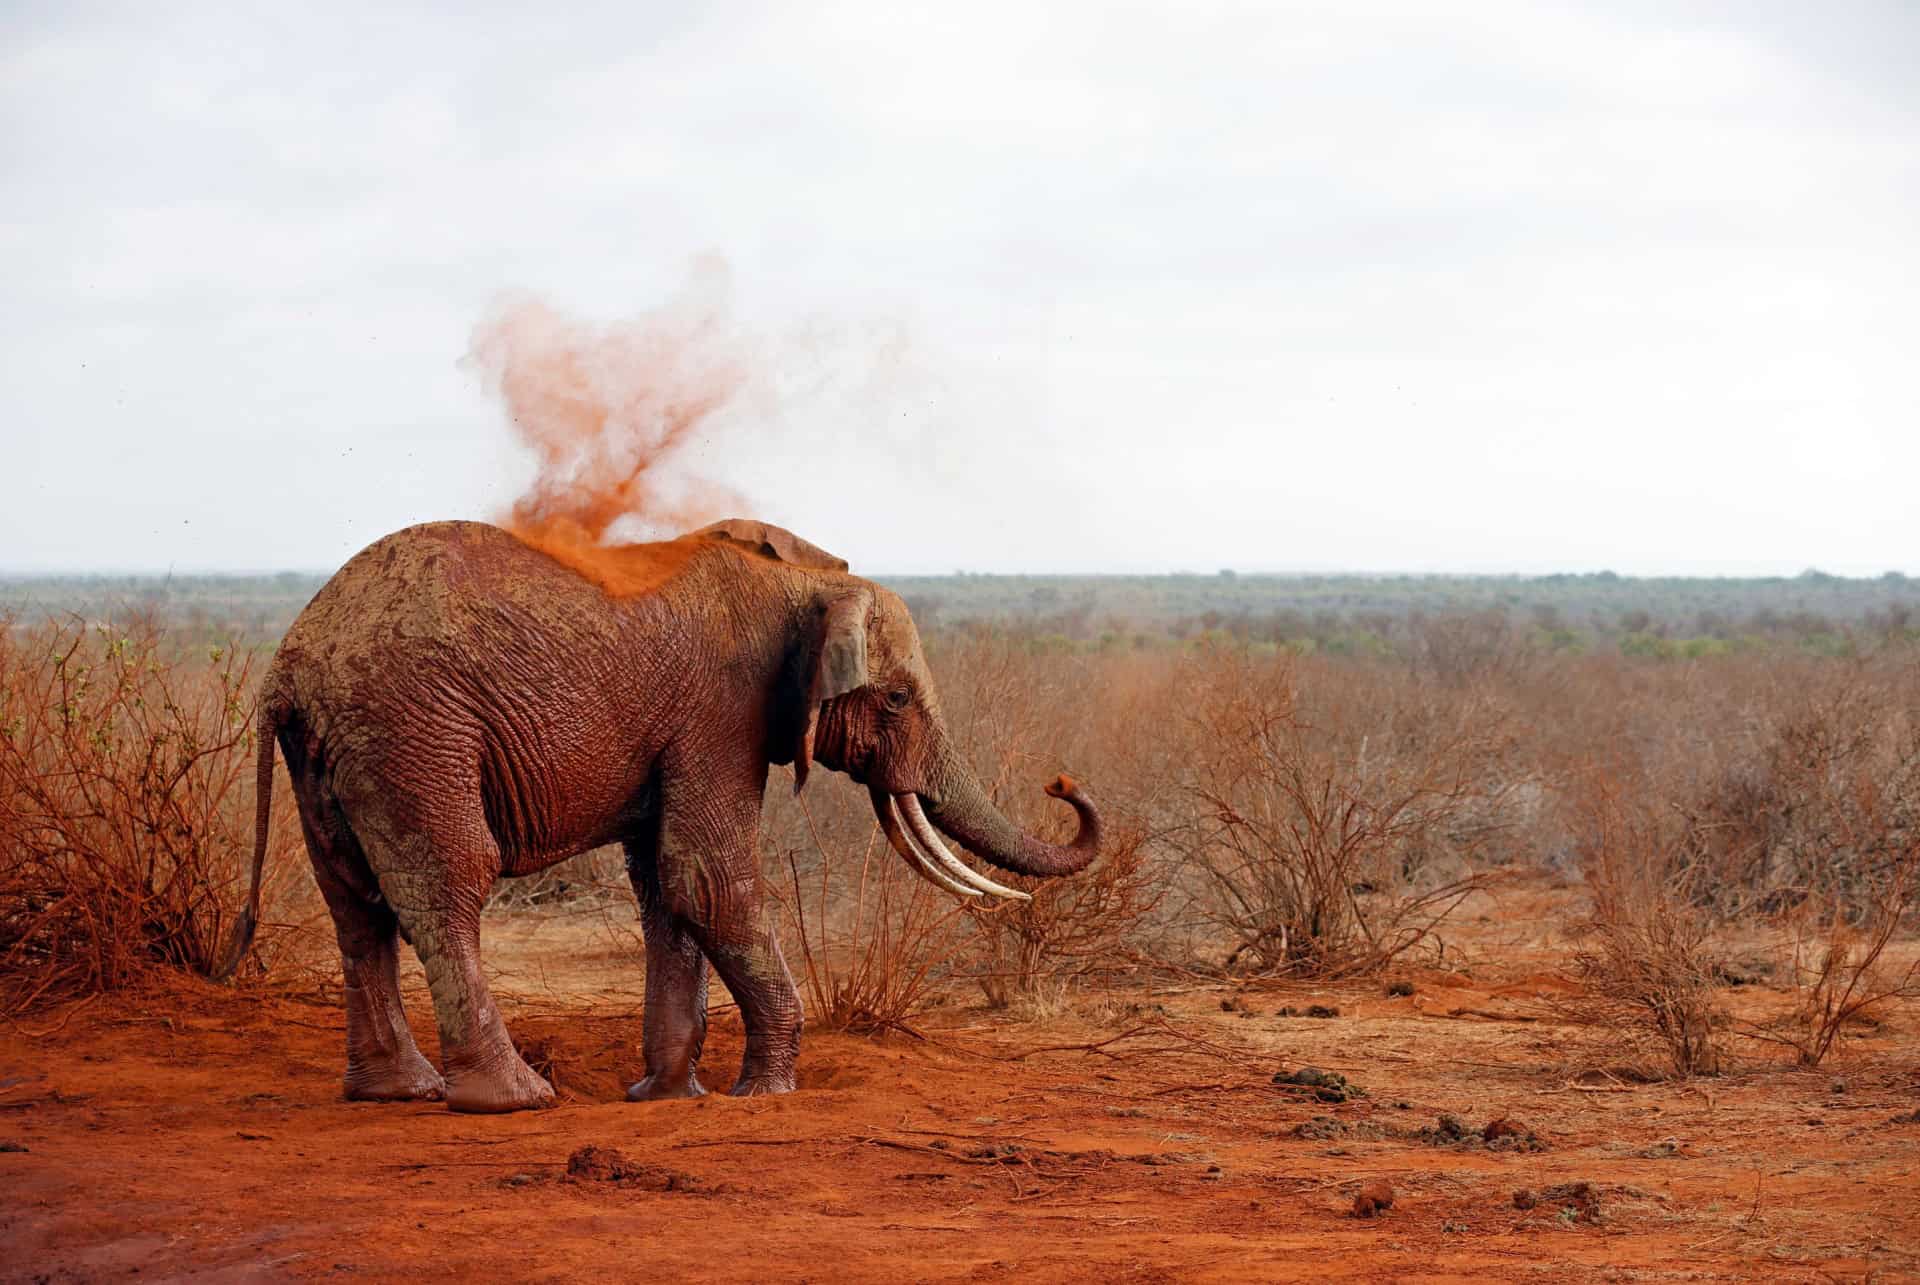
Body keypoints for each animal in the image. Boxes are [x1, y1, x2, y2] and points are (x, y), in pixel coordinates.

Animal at [217, 514, 1105, 1106]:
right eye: (893, 700)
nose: (1062, 783)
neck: (805, 582)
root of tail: (288, 663)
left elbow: (668, 887)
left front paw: (671, 1093)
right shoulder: (723, 708)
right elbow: (709, 881)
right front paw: (766, 1093)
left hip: (335, 751)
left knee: (355, 905)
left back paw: (398, 1091)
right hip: (411, 732)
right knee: (448, 889)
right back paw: (515, 1098)